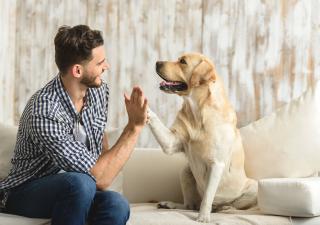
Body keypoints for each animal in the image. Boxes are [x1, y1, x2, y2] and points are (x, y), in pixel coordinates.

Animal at [148, 53, 258, 223]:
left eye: (183, 62)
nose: (157, 62)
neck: (197, 110)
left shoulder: (216, 164)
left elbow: (207, 197)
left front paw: (203, 217)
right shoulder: (171, 142)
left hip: (253, 188)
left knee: (232, 206)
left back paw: (224, 208)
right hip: (185, 171)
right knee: (189, 205)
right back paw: (170, 204)